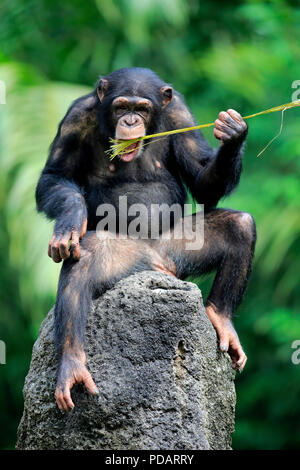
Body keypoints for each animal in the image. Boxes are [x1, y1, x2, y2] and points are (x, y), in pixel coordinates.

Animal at [35, 68, 255, 410]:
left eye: (142, 109)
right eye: (121, 107)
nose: (130, 121)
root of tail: (156, 263)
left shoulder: (180, 113)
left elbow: (201, 180)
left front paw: (232, 133)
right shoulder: (76, 118)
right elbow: (55, 176)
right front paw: (71, 220)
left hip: (179, 248)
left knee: (241, 225)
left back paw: (222, 320)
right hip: (125, 257)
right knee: (84, 257)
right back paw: (72, 363)